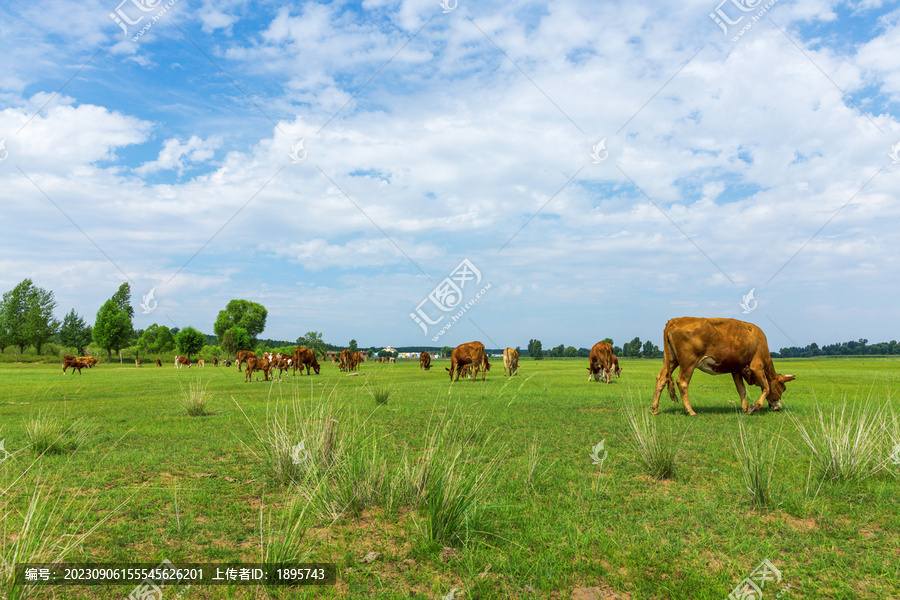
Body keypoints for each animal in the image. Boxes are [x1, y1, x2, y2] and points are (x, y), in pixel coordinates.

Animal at [652, 316, 796, 414]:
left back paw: (655, 409)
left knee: (661, 379)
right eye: (782, 388)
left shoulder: (737, 369)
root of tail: (675, 320)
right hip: (688, 363)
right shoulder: (757, 366)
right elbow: (766, 387)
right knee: (682, 382)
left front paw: (745, 408)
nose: (778, 407)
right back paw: (690, 411)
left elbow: (741, 389)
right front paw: (754, 407)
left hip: (670, 360)